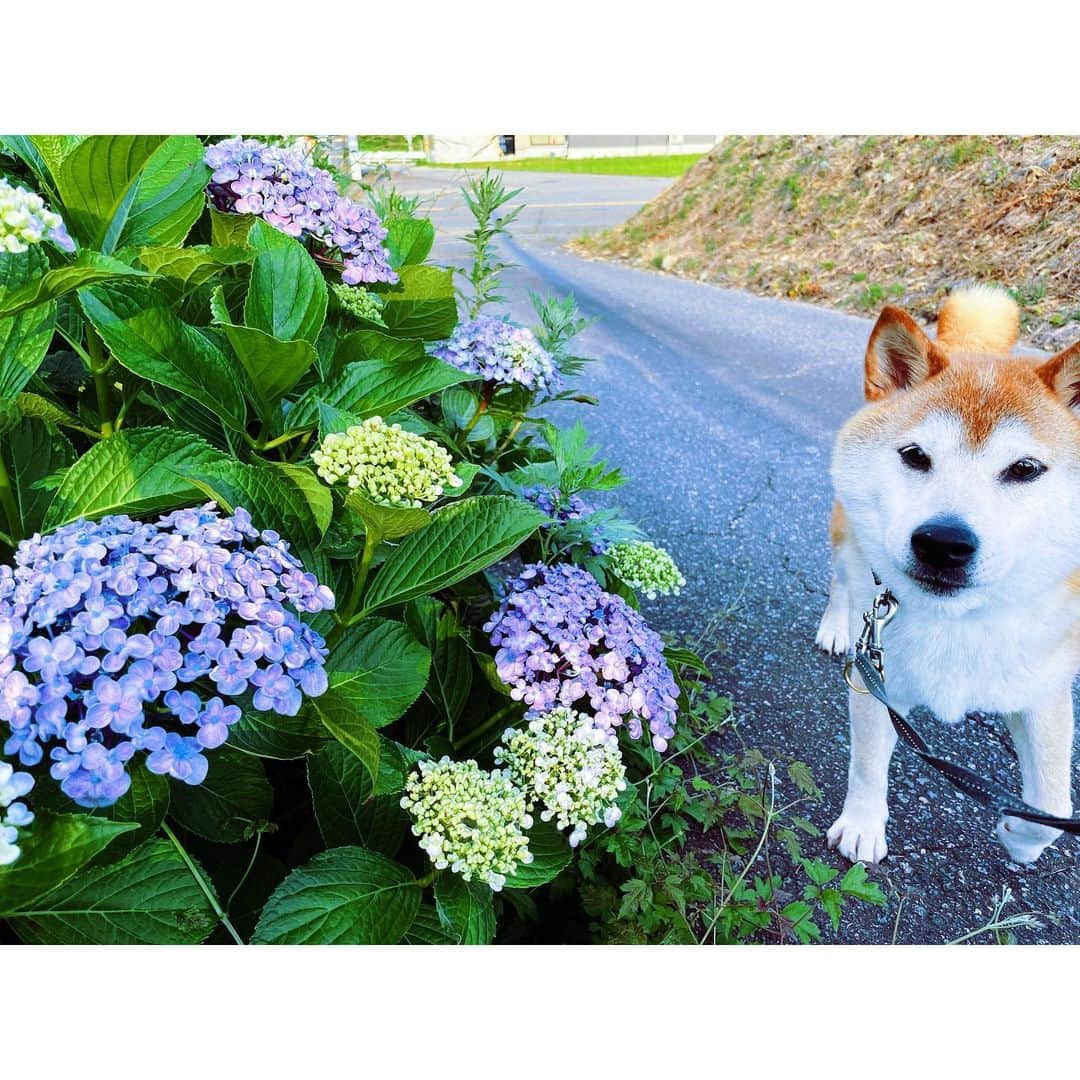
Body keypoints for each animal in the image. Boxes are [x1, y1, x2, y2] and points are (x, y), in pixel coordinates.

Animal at [816, 282, 1080, 864]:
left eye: (1024, 469)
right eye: (915, 455)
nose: (943, 543)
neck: (962, 620)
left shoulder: (1044, 690)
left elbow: (1055, 805)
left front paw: (1021, 835)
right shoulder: (878, 678)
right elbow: (868, 766)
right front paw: (863, 825)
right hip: (847, 534)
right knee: (844, 579)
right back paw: (836, 625)